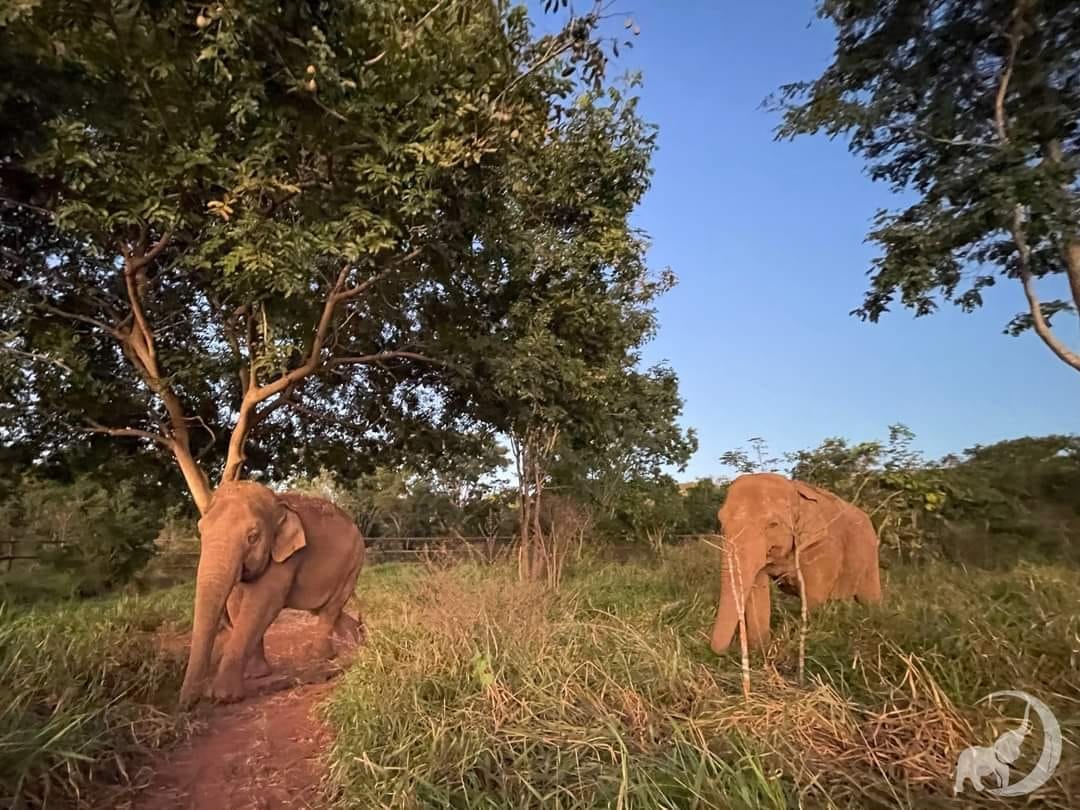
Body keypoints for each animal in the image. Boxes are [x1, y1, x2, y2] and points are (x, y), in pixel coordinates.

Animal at [174, 481, 365, 708]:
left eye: (253, 537)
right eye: (201, 530)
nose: (186, 704)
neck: (278, 503)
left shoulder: (287, 557)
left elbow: (263, 603)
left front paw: (224, 696)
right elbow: (236, 603)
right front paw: (256, 675)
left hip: (352, 564)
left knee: (330, 608)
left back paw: (321, 657)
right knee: (321, 608)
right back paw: (357, 640)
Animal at [712, 473, 881, 656]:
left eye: (773, 524)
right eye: (721, 520)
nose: (726, 652)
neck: (793, 488)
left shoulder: (823, 546)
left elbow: (813, 596)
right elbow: (758, 591)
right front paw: (762, 651)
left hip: (870, 557)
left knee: (869, 600)